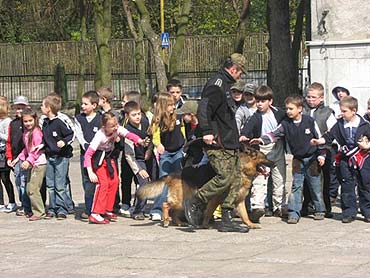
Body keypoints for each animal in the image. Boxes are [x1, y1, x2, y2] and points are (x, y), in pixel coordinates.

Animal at [137, 146, 274, 228]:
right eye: (265, 158)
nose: (275, 163)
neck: (243, 169)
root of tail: (172, 174)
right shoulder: (215, 199)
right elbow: (209, 212)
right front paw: (205, 224)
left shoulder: (239, 201)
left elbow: (245, 215)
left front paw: (250, 224)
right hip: (180, 200)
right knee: (165, 205)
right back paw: (166, 221)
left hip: (183, 202)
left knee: (174, 212)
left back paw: (180, 223)